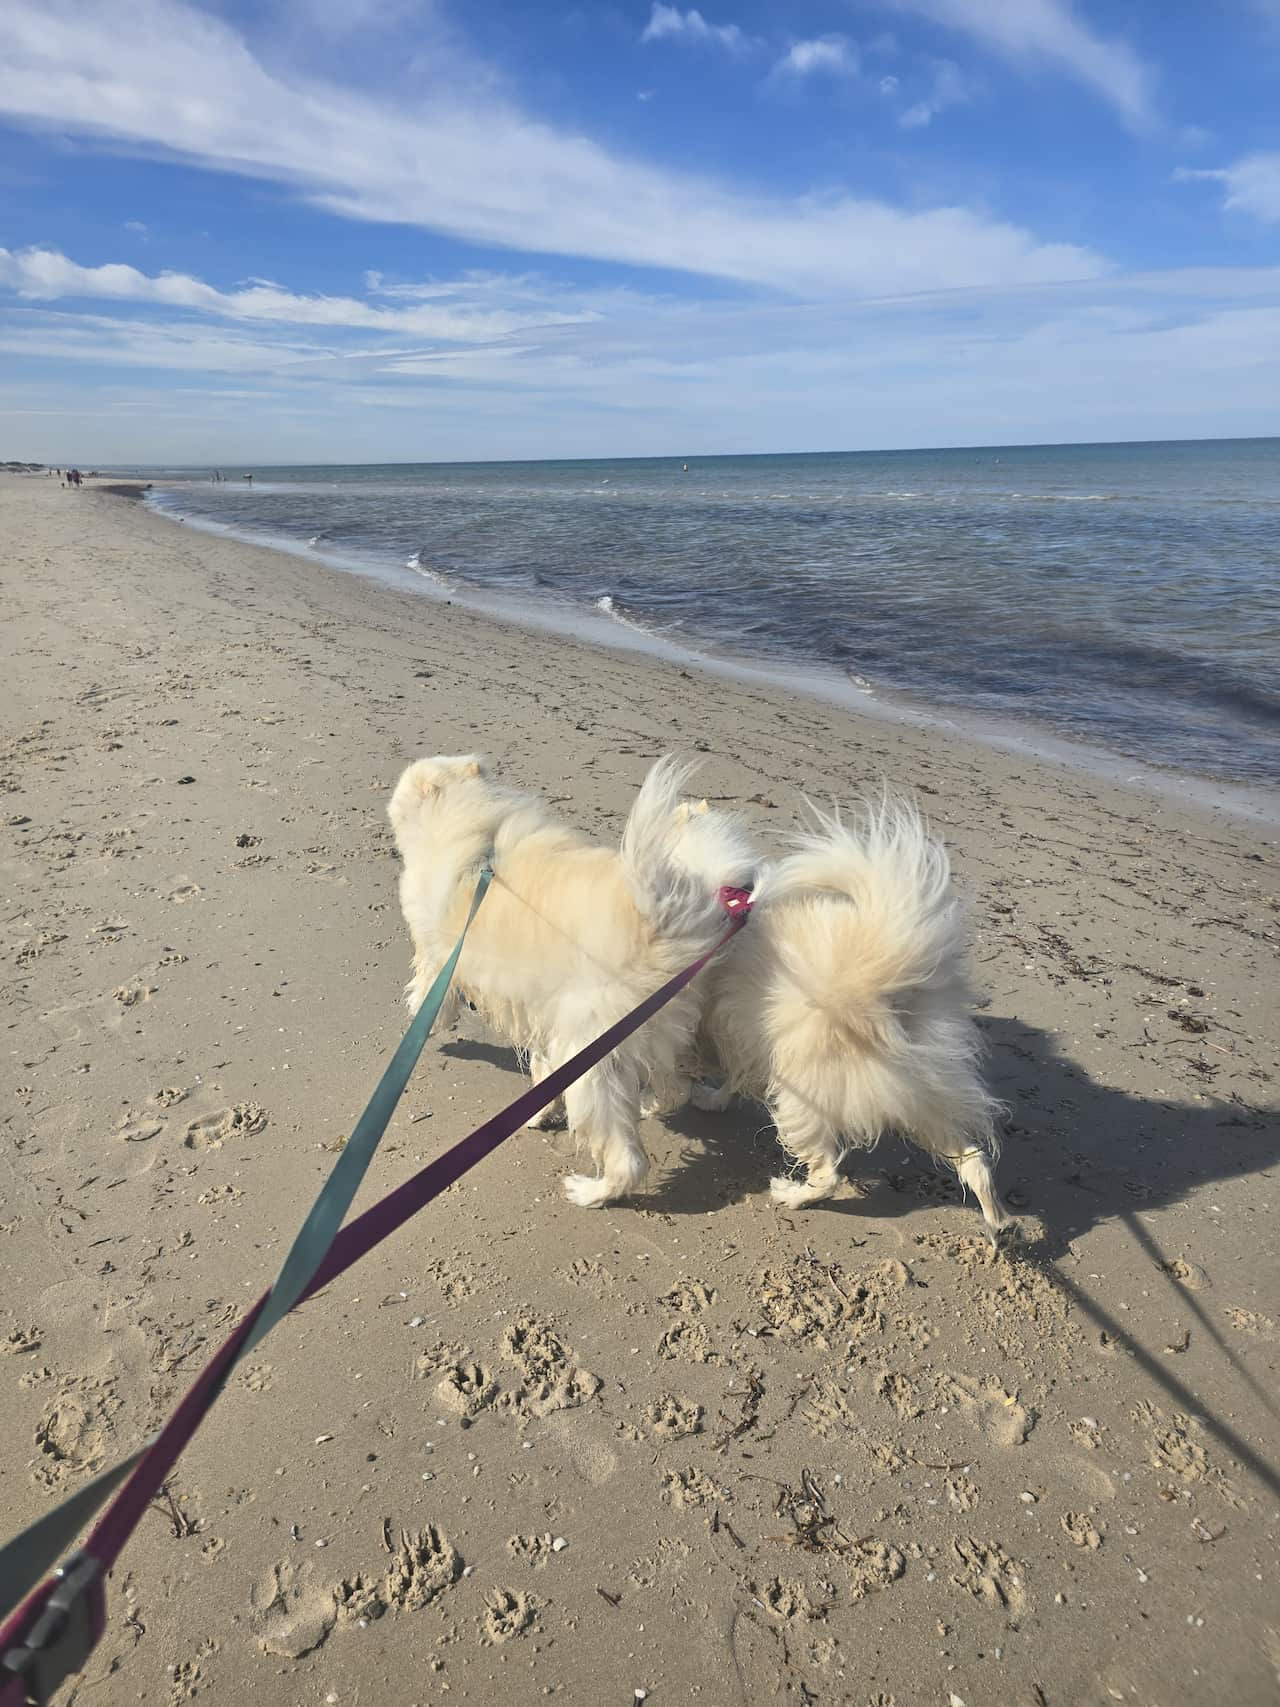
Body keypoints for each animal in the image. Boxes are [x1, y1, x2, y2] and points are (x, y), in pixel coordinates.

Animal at [390, 754, 750, 1208]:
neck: (475, 826)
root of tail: (661, 922)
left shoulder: (438, 954)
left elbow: (428, 992)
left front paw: (427, 1019)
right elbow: (542, 1071)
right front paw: (541, 1112)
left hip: (590, 1054)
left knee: (628, 1160)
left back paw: (591, 1192)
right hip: (648, 1032)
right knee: (674, 1090)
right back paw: (651, 1104)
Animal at [672, 792, 1010, 1249]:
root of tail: (877, 986)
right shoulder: (743, 1035)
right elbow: (733, 1076)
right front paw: (711, 1098)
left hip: (803, 1094)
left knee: (829, 1174)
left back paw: (791, 1195)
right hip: (924, 1099)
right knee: (975, 1161)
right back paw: (999, 1227)